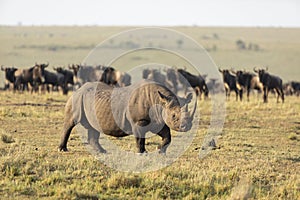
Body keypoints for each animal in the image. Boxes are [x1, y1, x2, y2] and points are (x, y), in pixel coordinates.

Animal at [58, 79, 197, 153]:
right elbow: (140, 139)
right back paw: (62, 150)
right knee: (70, 122)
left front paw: (159, 150)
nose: (186, 126)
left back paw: (103, 152)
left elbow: (167, 137)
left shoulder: (158, 120)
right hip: (76, 98)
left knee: (94, 127)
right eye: (173, 116)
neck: (160, 101)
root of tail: (78, 89)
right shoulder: (139, 121)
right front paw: (143, 153)